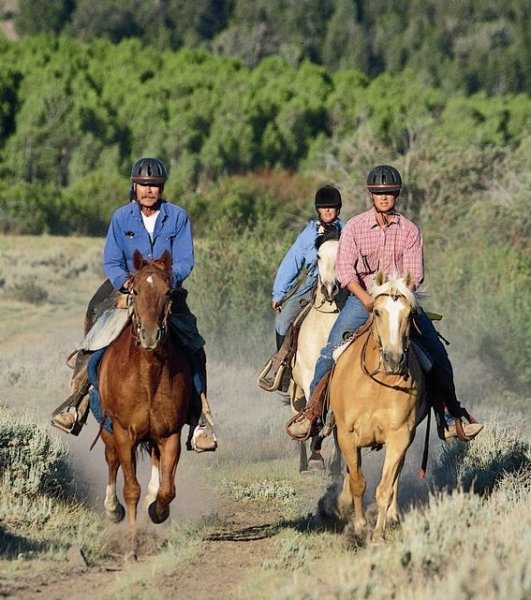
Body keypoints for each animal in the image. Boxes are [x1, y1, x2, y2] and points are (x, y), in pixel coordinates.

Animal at [97, 248, 193, 552]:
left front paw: (157, 510)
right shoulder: (124, 433)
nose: (150, 336)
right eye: (135, 290)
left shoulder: (170, 433)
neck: (148, 374)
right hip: (108, 430)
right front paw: (132, 542)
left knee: (153, 461)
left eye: (168, 292)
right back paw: (112, 509)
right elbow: (131, 488)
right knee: (111, 460)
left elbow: (168, 489)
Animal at [330, 272, 430, 544]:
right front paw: (359, 525)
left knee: (396, 474)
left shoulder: (400, 435)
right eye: (376, 312)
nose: (394, 359)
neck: (375, 386)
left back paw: (393, 516)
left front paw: (377, 534)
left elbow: (385, 487)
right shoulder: (347, 434)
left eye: (410, 314)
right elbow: (357, 481)